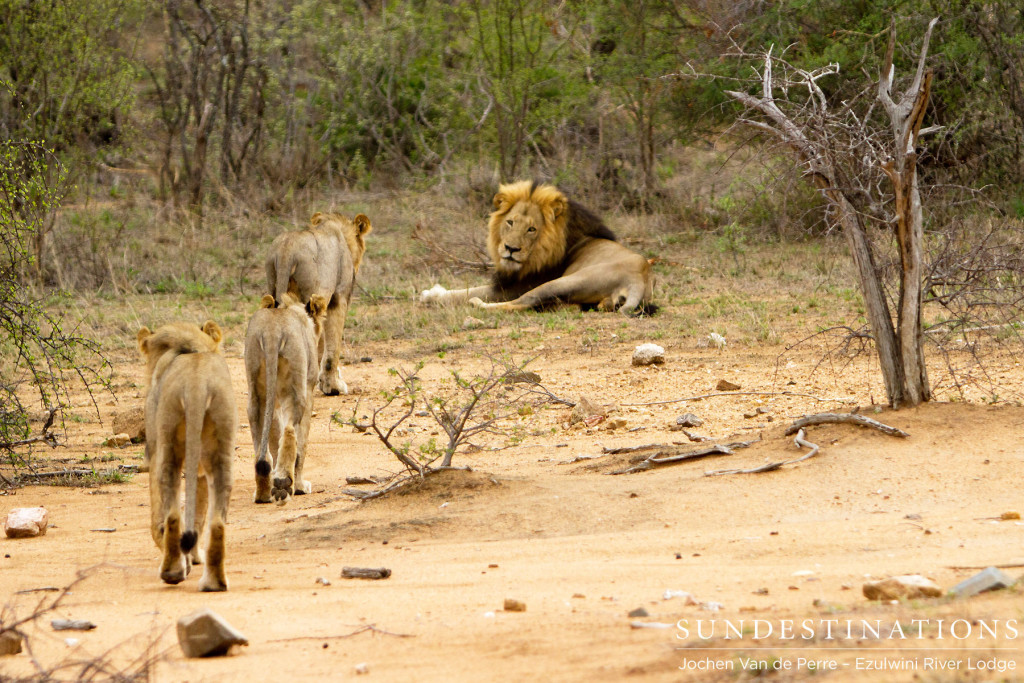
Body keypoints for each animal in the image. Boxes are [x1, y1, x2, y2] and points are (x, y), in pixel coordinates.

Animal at [136, 321, 235, 593]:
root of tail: (196, 381)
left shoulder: (154, 452)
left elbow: (157, 519)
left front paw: (187, 559)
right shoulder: (200, 469)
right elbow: (199, 512)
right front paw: (193, 556)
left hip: (167, 446)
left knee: (170, 515)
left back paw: (172, 570)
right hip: (222, 447)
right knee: (217, 521)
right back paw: (214, 583)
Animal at [245, 290, 325, 505]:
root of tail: (272, 331)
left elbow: (274, 438)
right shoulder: (309, 387)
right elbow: (301, 443)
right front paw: (300, 486)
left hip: (256, 390)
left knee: (261, 443)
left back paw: (263, 493)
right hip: (296, 391)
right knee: (290, 432)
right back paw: (283, 484)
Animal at [417, 181, 651, 317]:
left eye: (531, 229)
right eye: (510, 222)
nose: (510, 249)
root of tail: (640, 278)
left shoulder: (512, 287)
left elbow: (466, 291)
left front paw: (431, 294)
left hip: (560, 283)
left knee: (519, 303)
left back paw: (477, 304)